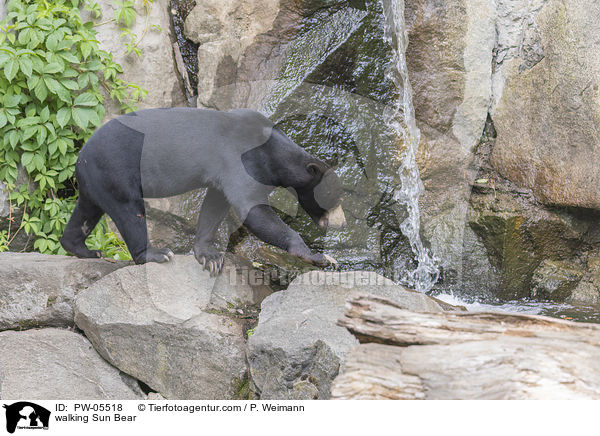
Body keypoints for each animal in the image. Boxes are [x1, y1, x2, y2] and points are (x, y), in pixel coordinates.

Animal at [59, 108, 346, 272]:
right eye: (334, 199)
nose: (340, 224)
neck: (273, 153)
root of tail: (80, 158)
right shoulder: (239, 160)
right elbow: (253, 209)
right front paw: (321, 257)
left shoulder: (223, 175)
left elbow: (214, 206)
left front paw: (209, 255)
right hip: (117, 172)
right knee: (130, 213)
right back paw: (156, 253)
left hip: (96, 182)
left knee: (86, 213)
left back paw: (83, 249)